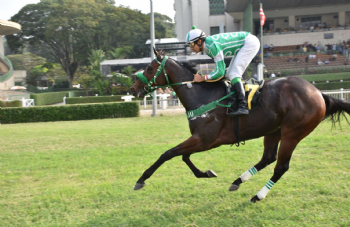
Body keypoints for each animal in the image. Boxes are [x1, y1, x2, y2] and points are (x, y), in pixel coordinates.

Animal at [130, 48, 350, 202]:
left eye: (149, 68)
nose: (133, 88)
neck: (202, 96)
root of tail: (318, 93)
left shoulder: (205, 140)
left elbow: (168, 154)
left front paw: (141, 179)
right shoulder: (201, 140)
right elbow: (184, 156)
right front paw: (206, 173)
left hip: (293, 133)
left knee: (280, 166)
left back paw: (257, 196)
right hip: (273, 130)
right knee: (267, 158)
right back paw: (238, 181)